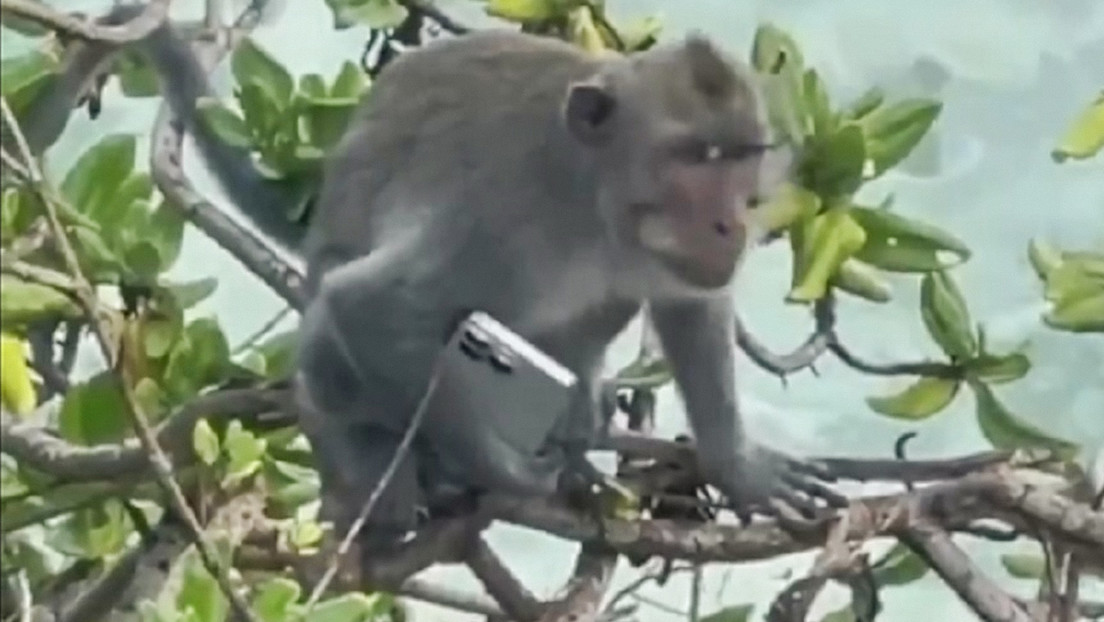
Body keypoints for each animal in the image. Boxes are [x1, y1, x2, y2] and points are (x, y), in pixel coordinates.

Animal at [25, 5, 848, 553]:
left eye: (741, 157)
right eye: (693, 157)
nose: (734, 223)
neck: (590, 196)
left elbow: (690, 300)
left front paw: (738, 464)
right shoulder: (498, 220)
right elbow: (373, 309)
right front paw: (506, 470)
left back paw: (579, 405)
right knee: (334, 329)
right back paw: (368, 451)